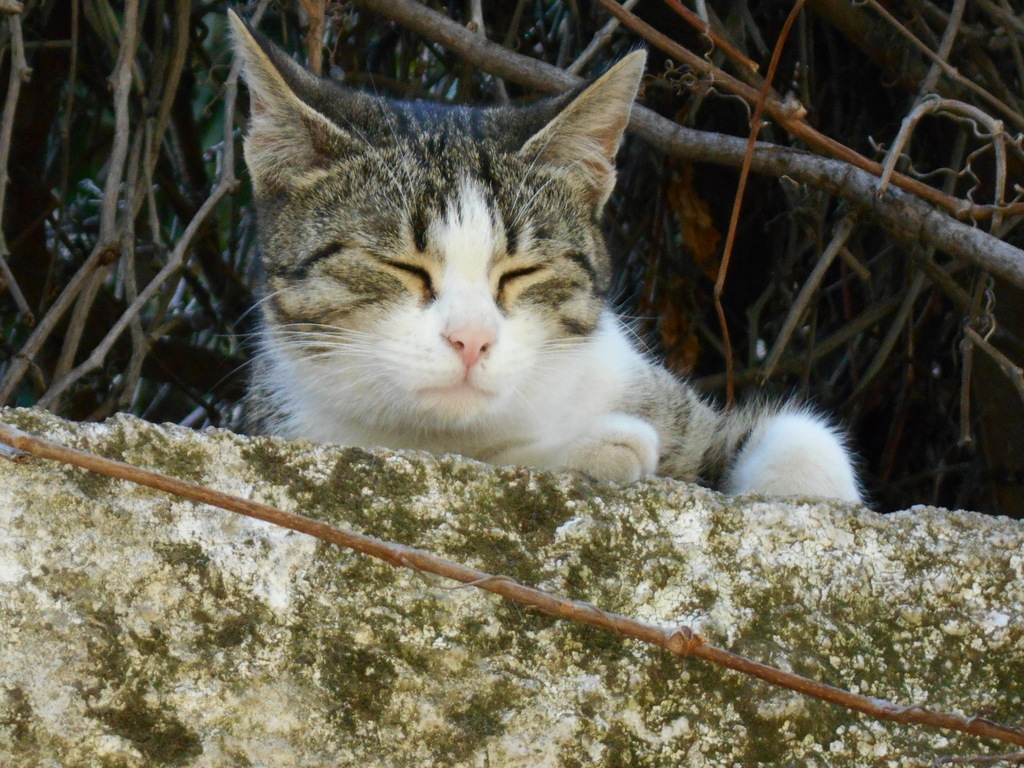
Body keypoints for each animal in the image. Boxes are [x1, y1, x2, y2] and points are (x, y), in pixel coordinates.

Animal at [228, 15, 860, 505]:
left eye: (522, 271)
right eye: (399, 266)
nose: (472, 340)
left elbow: (799, 438)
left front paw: (803, 489)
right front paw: (592, 447)